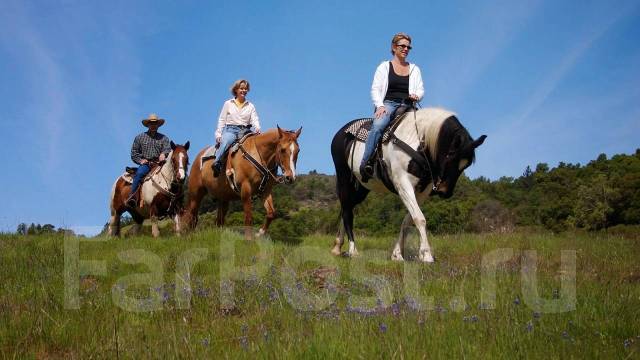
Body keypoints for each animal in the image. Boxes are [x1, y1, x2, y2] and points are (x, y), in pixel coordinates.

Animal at [330, 107, 484, 262]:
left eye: (466, 165)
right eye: (450, 154)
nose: (444, 191)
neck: (417, 140)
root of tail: (340, 133)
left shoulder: (423, 191)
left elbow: (408, 220)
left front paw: (397, 254)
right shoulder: (403, 184)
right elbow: (419, 218)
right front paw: (426, 255)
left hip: (361, 188)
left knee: (347, 208)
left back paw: (338, 246)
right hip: (344, 179)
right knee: (347, 213)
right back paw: (352, 250)